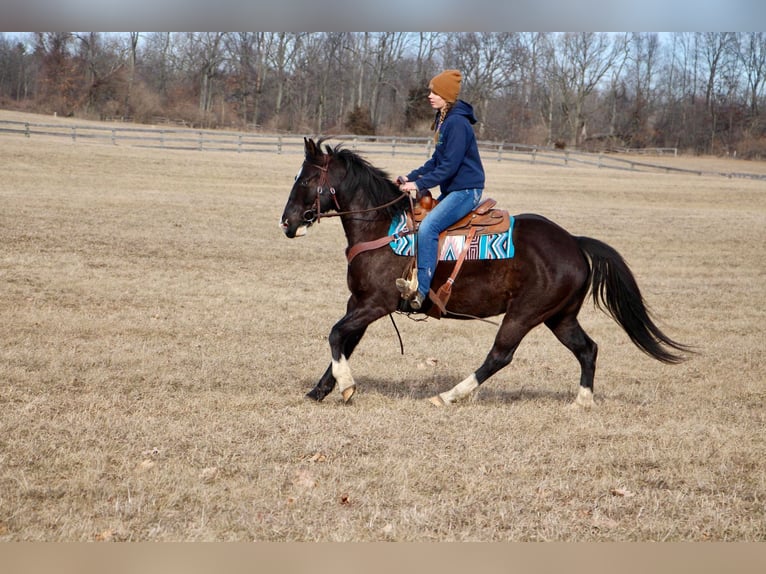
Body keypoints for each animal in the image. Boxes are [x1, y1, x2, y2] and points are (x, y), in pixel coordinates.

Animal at [280, 140, 688, 408]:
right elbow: (344, 341)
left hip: (524, 314)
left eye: (305, 181)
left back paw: (450, 395)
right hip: (560, 317)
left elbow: (336, 334)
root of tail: (574, 242)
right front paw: (321, 390)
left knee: (500, 355)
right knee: (588, 349)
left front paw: (346, 386)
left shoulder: (376, 304)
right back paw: (582, 402)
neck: (382, 226)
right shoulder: (360, 302)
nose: (287, 222)